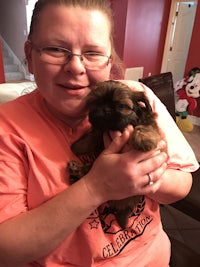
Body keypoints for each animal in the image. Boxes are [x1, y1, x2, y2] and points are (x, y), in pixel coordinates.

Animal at [68, 80, 162, 229]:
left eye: (121, 105)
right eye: (97, 102)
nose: (106, 110)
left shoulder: (148, 123)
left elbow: (144, 127)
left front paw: (144, 139)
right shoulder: (100, 131)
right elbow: (91, 137)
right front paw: (77, 146)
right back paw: (75, 171)